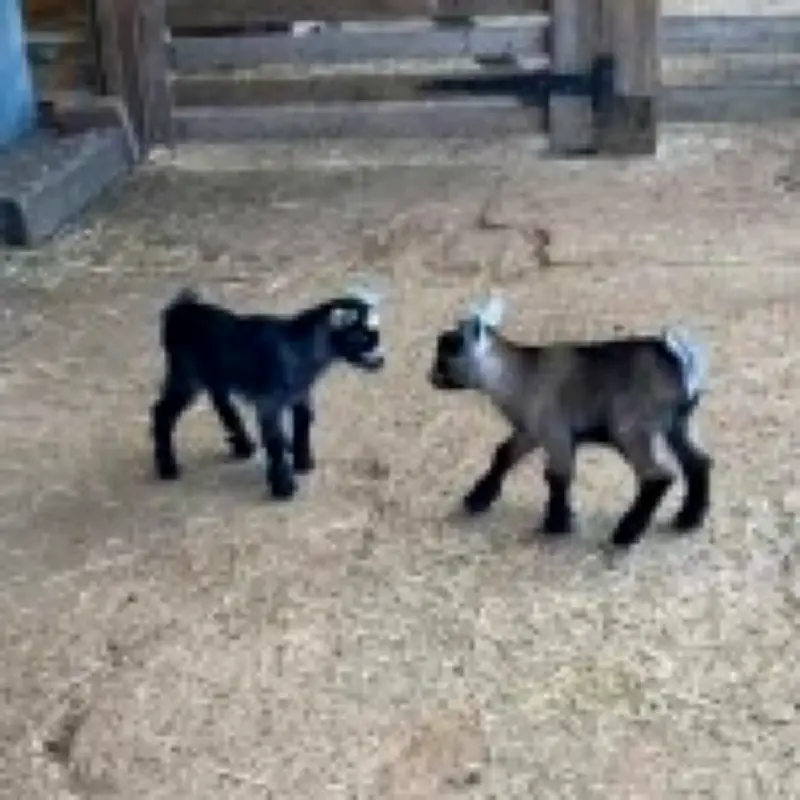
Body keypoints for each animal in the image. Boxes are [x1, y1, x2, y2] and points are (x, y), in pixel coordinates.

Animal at [150, 286, 385, 500]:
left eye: (377, 336)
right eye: (363, 337)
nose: (381, 360)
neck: (300, 348)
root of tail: (178, 311)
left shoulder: (300, 393)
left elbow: (304, 422)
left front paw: (303, 462)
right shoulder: (269, 400)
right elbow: (275, 439)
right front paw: (283, 487)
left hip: (215, 371)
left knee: (220, 398)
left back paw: (243, 446)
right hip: (185, 375)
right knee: (161, 412)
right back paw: (167, 467)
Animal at [428, 296, 712, 549]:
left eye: (448, 352)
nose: (431, 377)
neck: (520, 375)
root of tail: (682, 362)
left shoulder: (555, 433)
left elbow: (557, 476)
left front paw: (556, 524)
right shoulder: (530, 432)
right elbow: (504, 454)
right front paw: (477, 499)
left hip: (631, 430)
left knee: (657, 476)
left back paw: (626, 534)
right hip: (678, 425)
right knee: (698, 462)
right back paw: (689, 519)